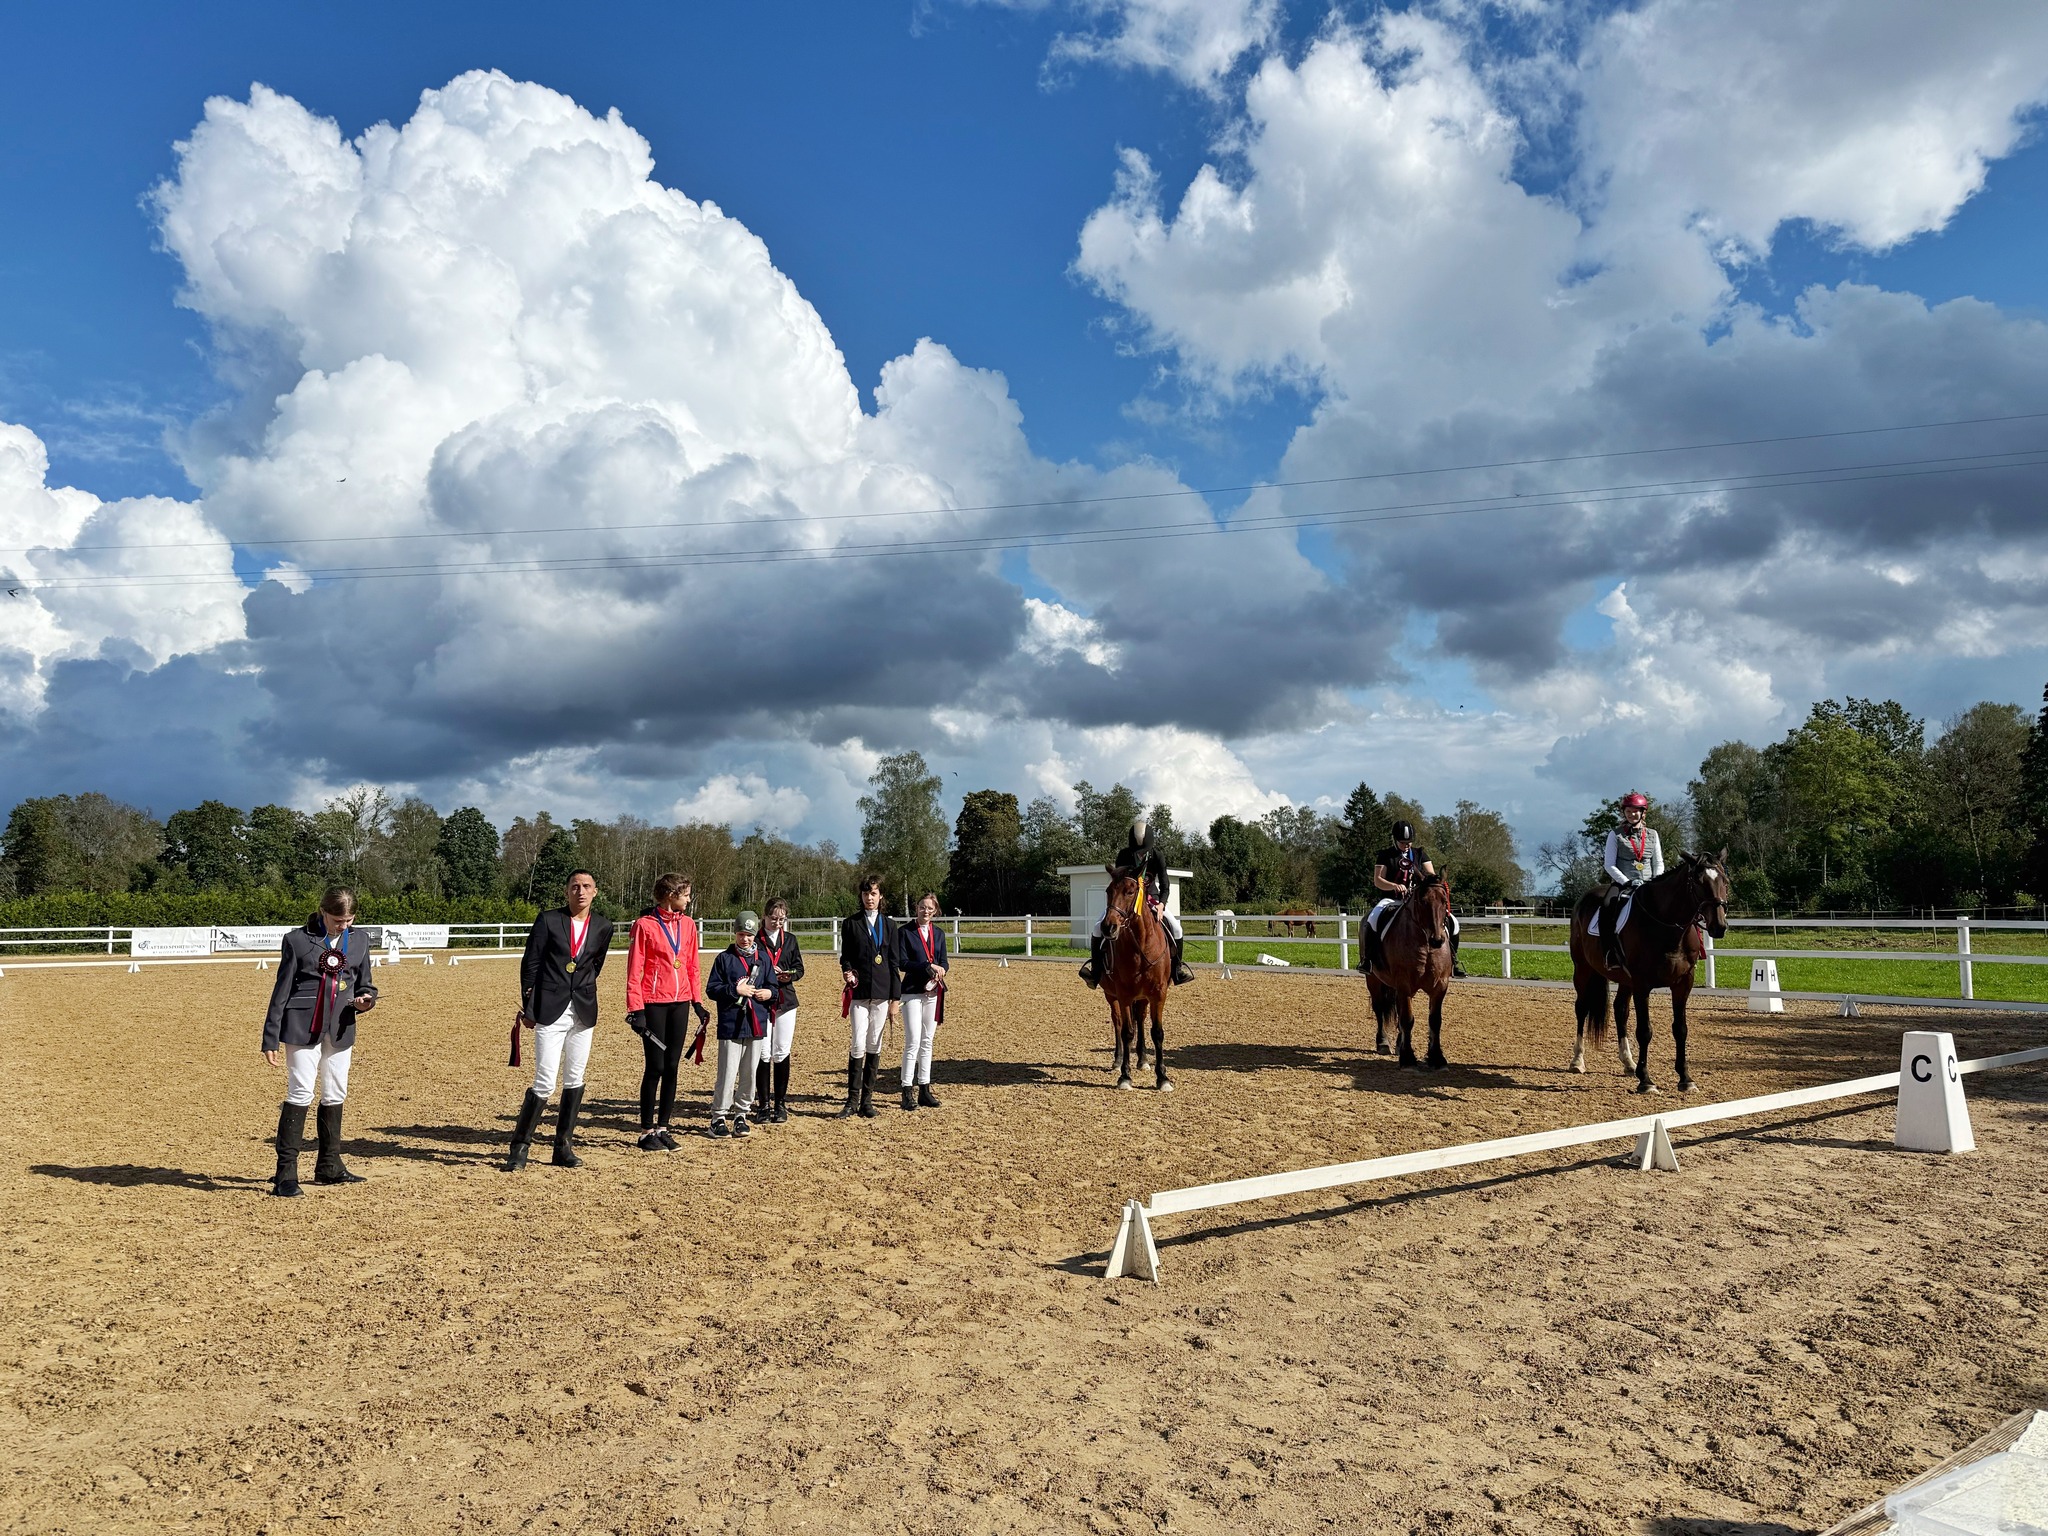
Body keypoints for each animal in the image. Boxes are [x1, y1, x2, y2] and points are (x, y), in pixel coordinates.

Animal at [1100, 868, 1173, 1091]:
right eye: (1108, 891)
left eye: (1130, 892)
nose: (1108, 928)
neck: (1141, 945)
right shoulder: (1123, 995)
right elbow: (1126, 1032)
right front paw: (1125, 1076)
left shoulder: (1158, 994)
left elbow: (1157, 1032)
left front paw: (1162, 1077)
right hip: (1111, 995)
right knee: (1118, 1022)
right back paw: (1117, 1061)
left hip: (1143, 997)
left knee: (1140, 1020)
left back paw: (1142, 1060)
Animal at [1359, 873, 1454, 1069]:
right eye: (1422, 901)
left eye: (1444, 901)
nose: (1437, 940)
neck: (1425, 946)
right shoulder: (1404, 985)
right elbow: (1407, 1019)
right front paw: (1408, 1059)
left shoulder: (1440, 986)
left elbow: (1434, 1021)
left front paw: (1436, 1058)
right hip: (1373, 980)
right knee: (1380, 1009)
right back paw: (1383, 1043)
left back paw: (1398, 1044)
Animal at [1568, 849, 1732, 1093]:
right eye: (1698, 882)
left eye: (1725, 881)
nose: (1719, 926)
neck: (1666, 927)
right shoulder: (1642, 984)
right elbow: (1644, 1031)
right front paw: (1645, 1081)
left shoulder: (1683, 983)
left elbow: (1680, 1029)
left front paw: (1685, 1079)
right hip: (1583, 970)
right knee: (1582, 1008)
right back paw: (1578, 1060)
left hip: (1624, 980)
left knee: (1620, 1010)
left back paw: (1628, 1063)